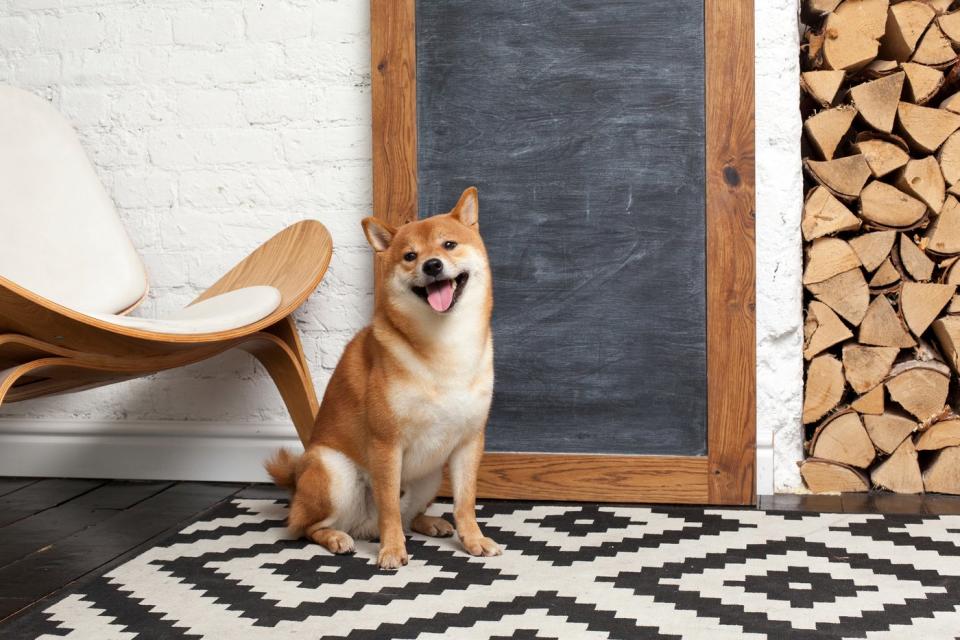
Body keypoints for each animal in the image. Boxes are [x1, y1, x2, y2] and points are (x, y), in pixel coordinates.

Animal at [266, 186, 498, 568]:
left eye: (449, 245)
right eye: (409, 255)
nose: (432, 265)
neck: (445, 346)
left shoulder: (469, 442)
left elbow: (465, 502)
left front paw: (474, 539)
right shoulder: (386, 443)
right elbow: (388, 505)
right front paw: (391, 550)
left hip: (430, 477)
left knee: (408, 516)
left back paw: (430, 522)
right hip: (333, 472)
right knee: (305, 526)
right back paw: (337, 537)